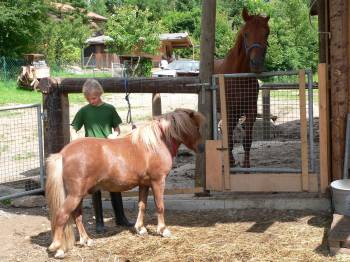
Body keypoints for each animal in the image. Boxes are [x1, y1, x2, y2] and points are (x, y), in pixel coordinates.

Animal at [45, 108, 205, 258]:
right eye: (196, 127)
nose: (202, 148)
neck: (156, 143)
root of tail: (63, 154)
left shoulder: (144, 184)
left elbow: (142, 205)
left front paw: (140, 229)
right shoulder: (158, 181)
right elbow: (160, 206)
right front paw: (163, 230)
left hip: (79, 194)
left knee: (77, 215)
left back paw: (86, 240)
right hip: (75, 194)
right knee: (62, 215)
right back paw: (57, 248)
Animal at [213, 8, 270, 168]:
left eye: (267, 33)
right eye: (246, 33)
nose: (257, 63)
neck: (239, 77)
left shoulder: (250, 111)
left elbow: (247, 140)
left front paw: (246, 164)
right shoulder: (229, 111)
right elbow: (229, 140)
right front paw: (231, 163)